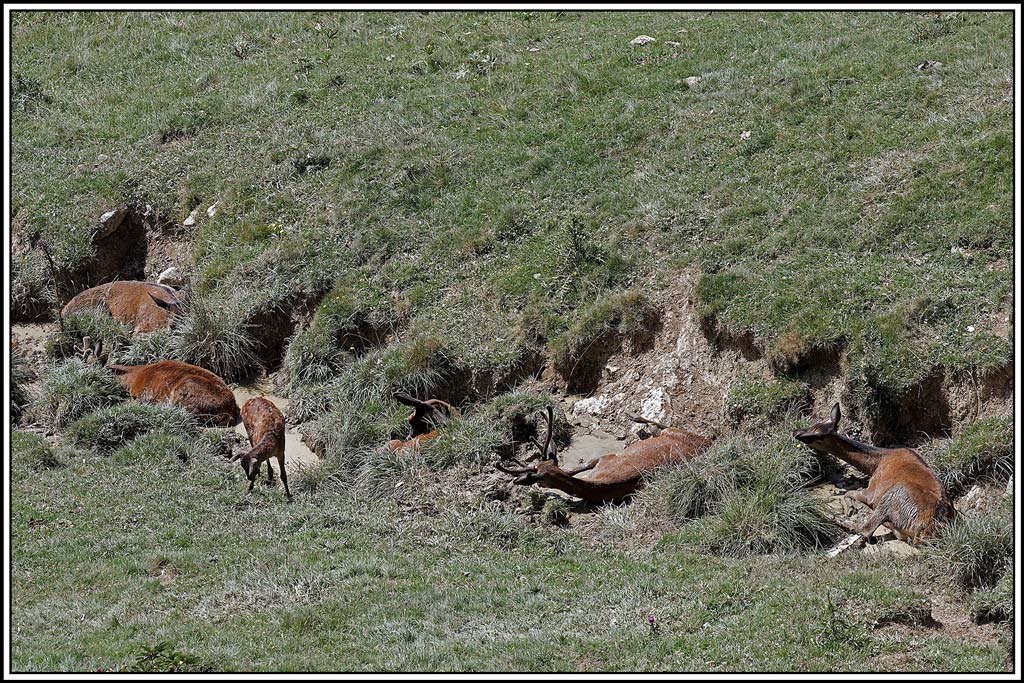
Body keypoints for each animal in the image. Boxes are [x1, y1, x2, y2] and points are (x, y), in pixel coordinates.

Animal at [495, 407, 711, 504]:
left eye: (540, 480)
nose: (538, 486)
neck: (601, 485)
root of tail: (707, 442)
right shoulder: (603, 459)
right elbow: (579, 466)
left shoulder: (609, 457)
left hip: (675, 431)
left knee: (663, 424)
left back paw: (633, 415)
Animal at [792, 403, 955, 544]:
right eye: (814, 424)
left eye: (813, 436)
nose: (796, 431)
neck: (876, 464)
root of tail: (927, 530)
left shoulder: (872, 492)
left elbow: (850, 493)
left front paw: (849, 507)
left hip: (893, 496)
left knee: (865, 529)